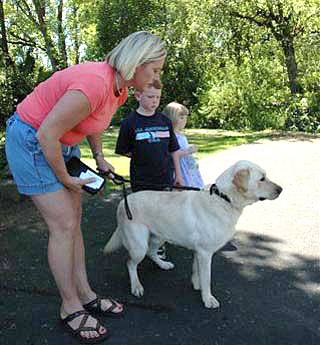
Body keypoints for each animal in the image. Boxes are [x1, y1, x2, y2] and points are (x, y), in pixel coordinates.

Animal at [104, 160, 282, 308]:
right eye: (262, 179)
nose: (281, 189)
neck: (224, 198)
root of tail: (123, 201)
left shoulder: (199, 251)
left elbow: (197, 271)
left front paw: (197, 285)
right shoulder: (205, 253)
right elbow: (207, 278)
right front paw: (208, 298)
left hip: (159, 237)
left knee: (151, 252)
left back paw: (163, 265)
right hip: (138, 245)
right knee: (130, 263)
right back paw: (136, 286)